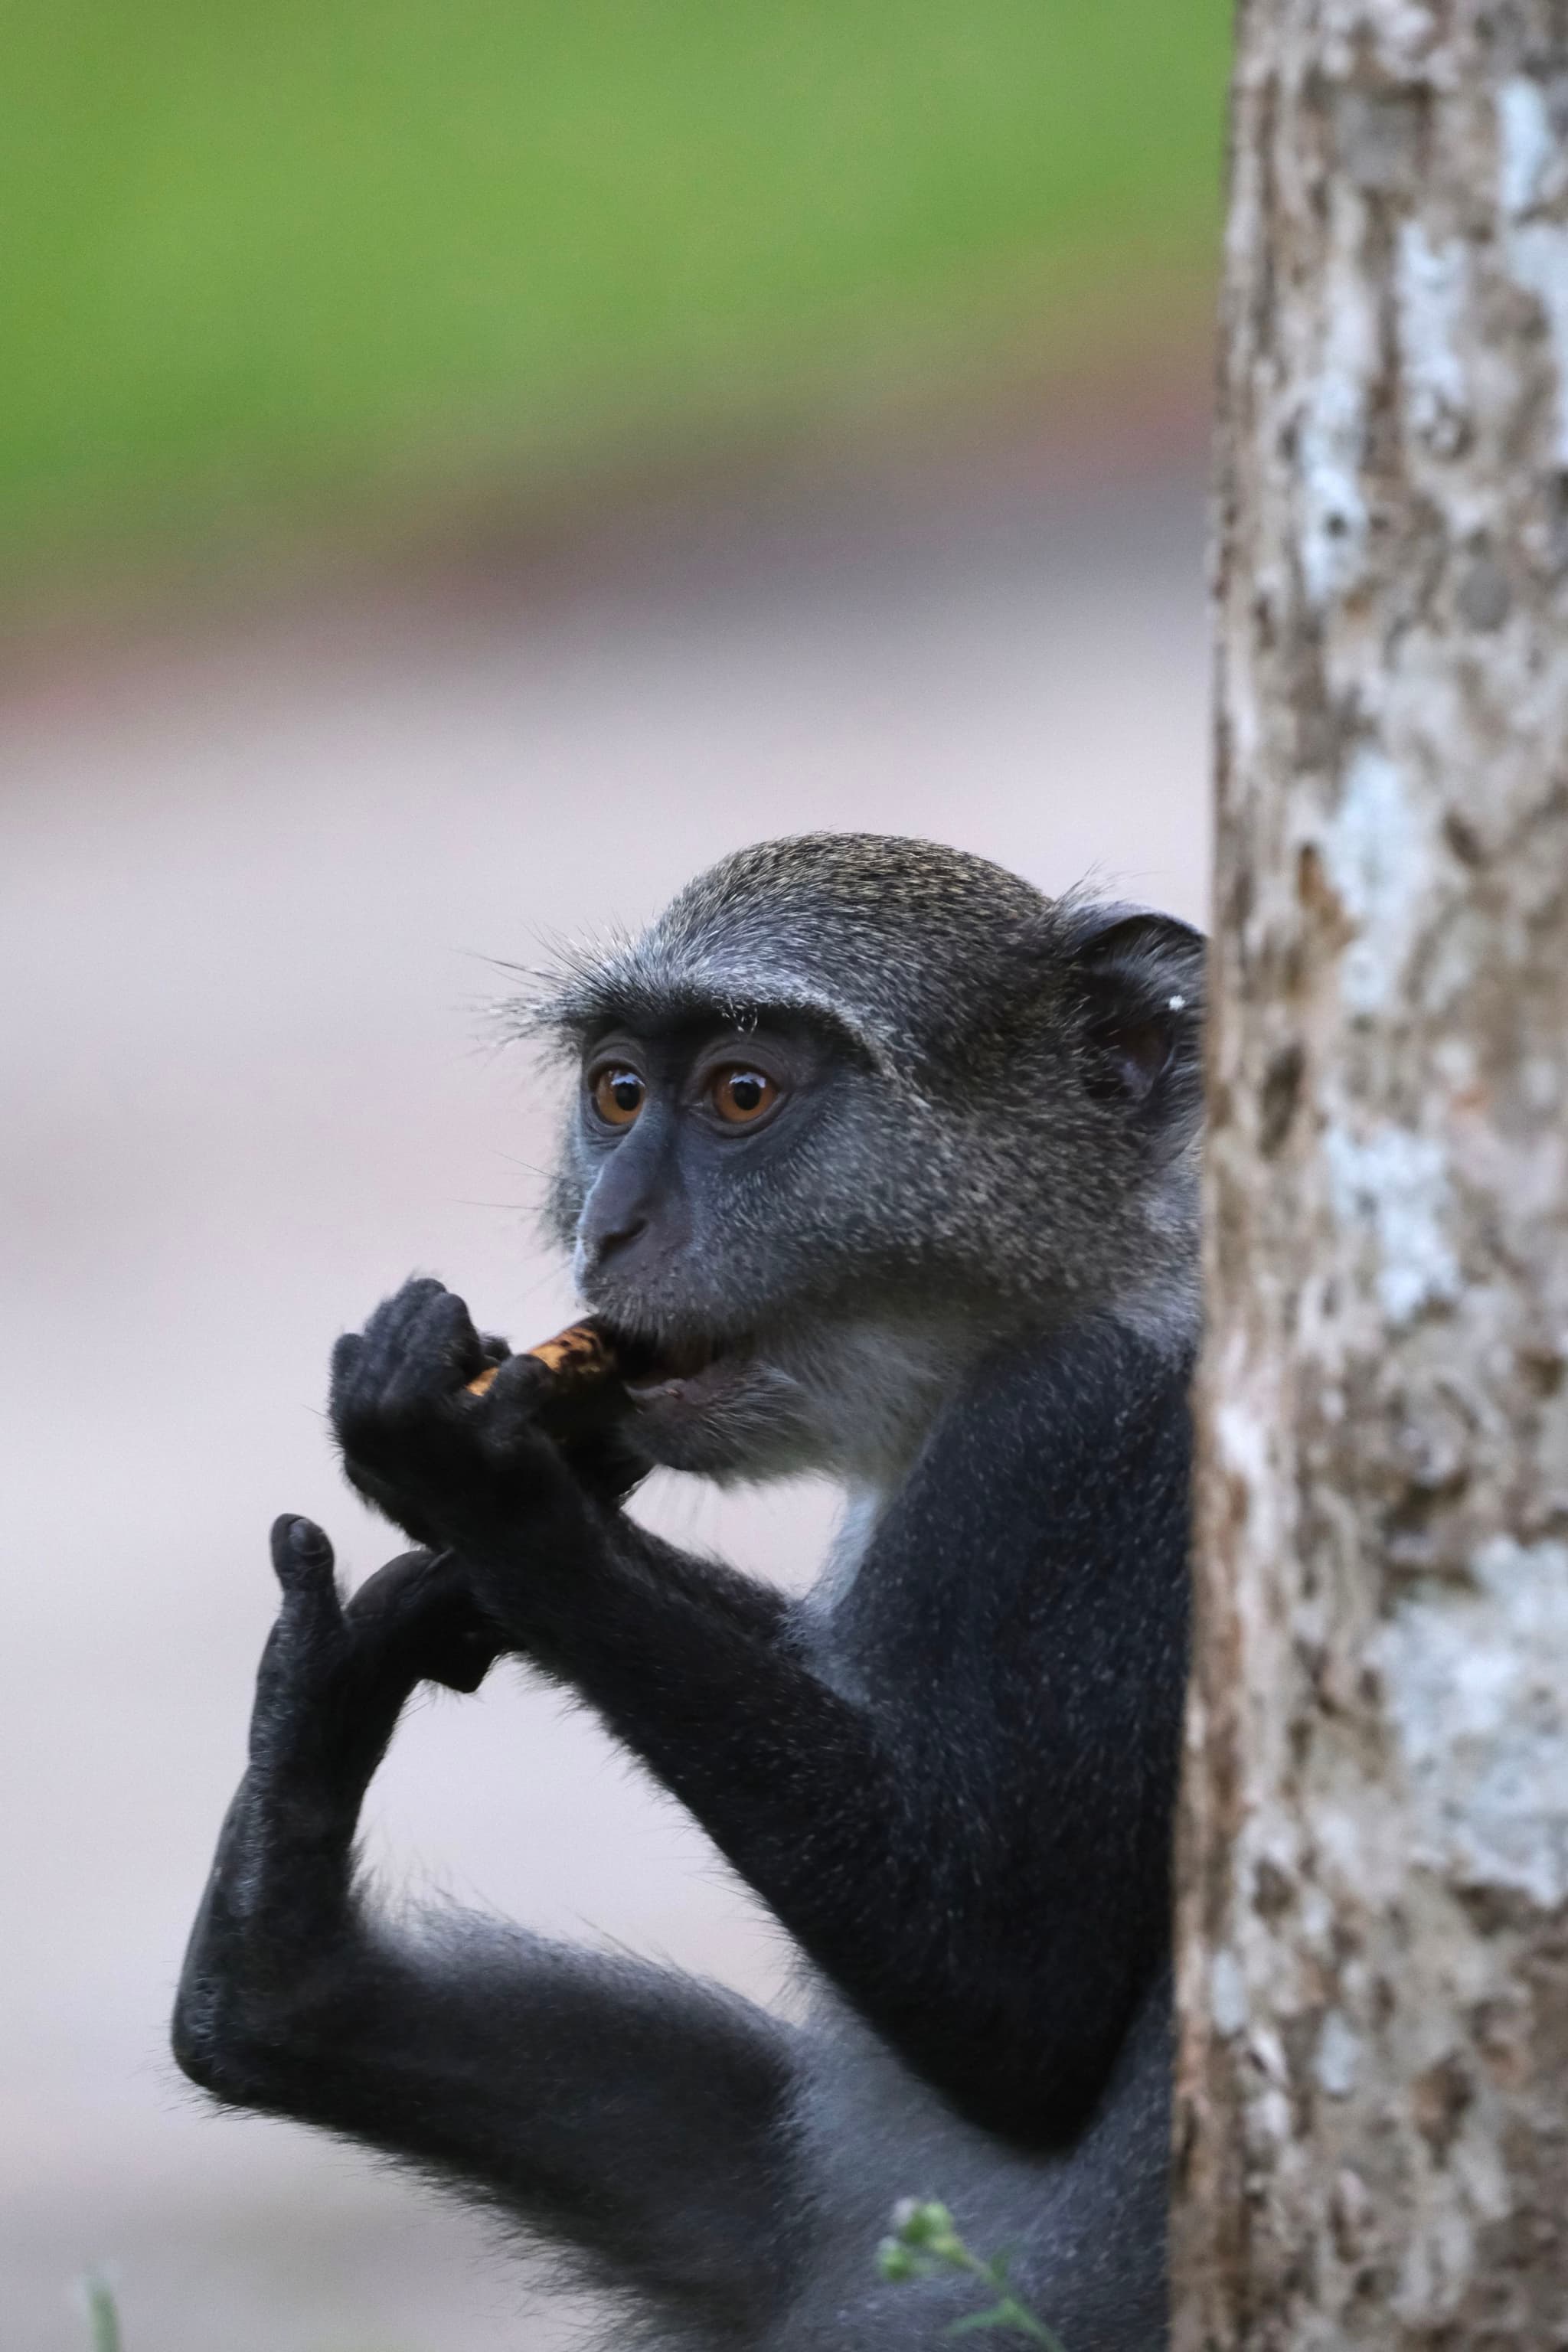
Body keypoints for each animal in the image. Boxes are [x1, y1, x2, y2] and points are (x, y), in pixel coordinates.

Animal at [172, 833, 1203, 2351]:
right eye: (617, 1094)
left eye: (740, 1094)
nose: (608, 1228)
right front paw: (410, 1608)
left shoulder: (1097, 1450)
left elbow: (1014, 1999)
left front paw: (492, 1492)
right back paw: (276, 1946)